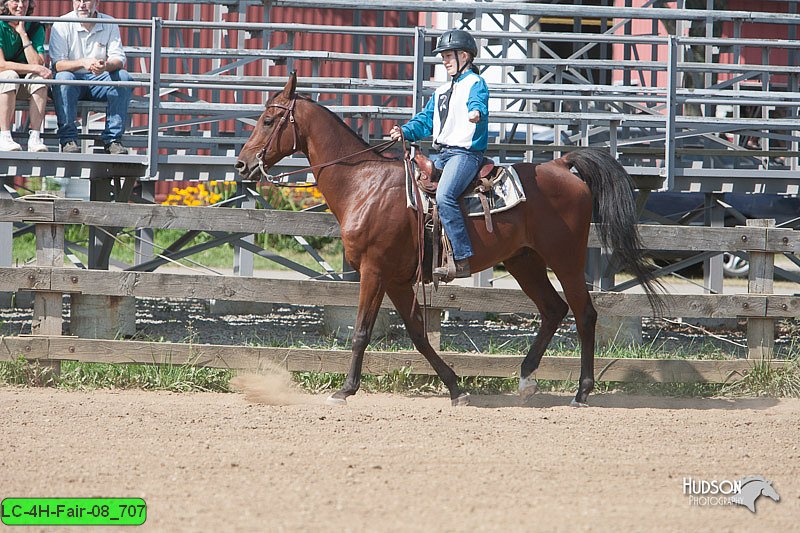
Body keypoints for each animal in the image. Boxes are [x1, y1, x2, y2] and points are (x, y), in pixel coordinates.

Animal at [236, 74, 664, 408]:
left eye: (269, 119)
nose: (241, 164)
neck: (364, 183)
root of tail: (560, 165)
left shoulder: (374, 272)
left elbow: (361, 332)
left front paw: (345, 390)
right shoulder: (396, 279)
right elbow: (418, 335)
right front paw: (456, 387)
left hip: (565, 258)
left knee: (584, 313)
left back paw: (581, 391)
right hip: (524, 260)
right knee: (553, 310)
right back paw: (526, 378)